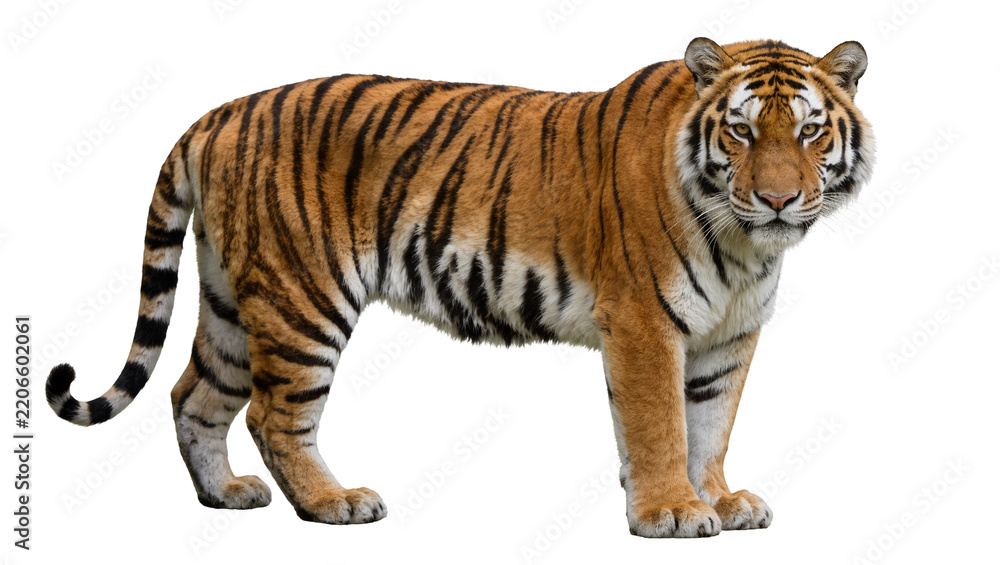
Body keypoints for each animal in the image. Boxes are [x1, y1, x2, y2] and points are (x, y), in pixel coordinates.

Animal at [45, 37, 874, 537]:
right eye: (740, 131)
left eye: (808, 131)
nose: (776, 199)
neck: (746, 245)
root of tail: (217, 115)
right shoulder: (643, 322)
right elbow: (661, 424)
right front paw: (670, 510)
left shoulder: (728, 337)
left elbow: (710, 424)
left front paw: (719, 500)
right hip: (301, 298)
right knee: (273, 413)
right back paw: (333, 503)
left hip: (231, 301)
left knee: (193, 394)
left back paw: (225, 494)